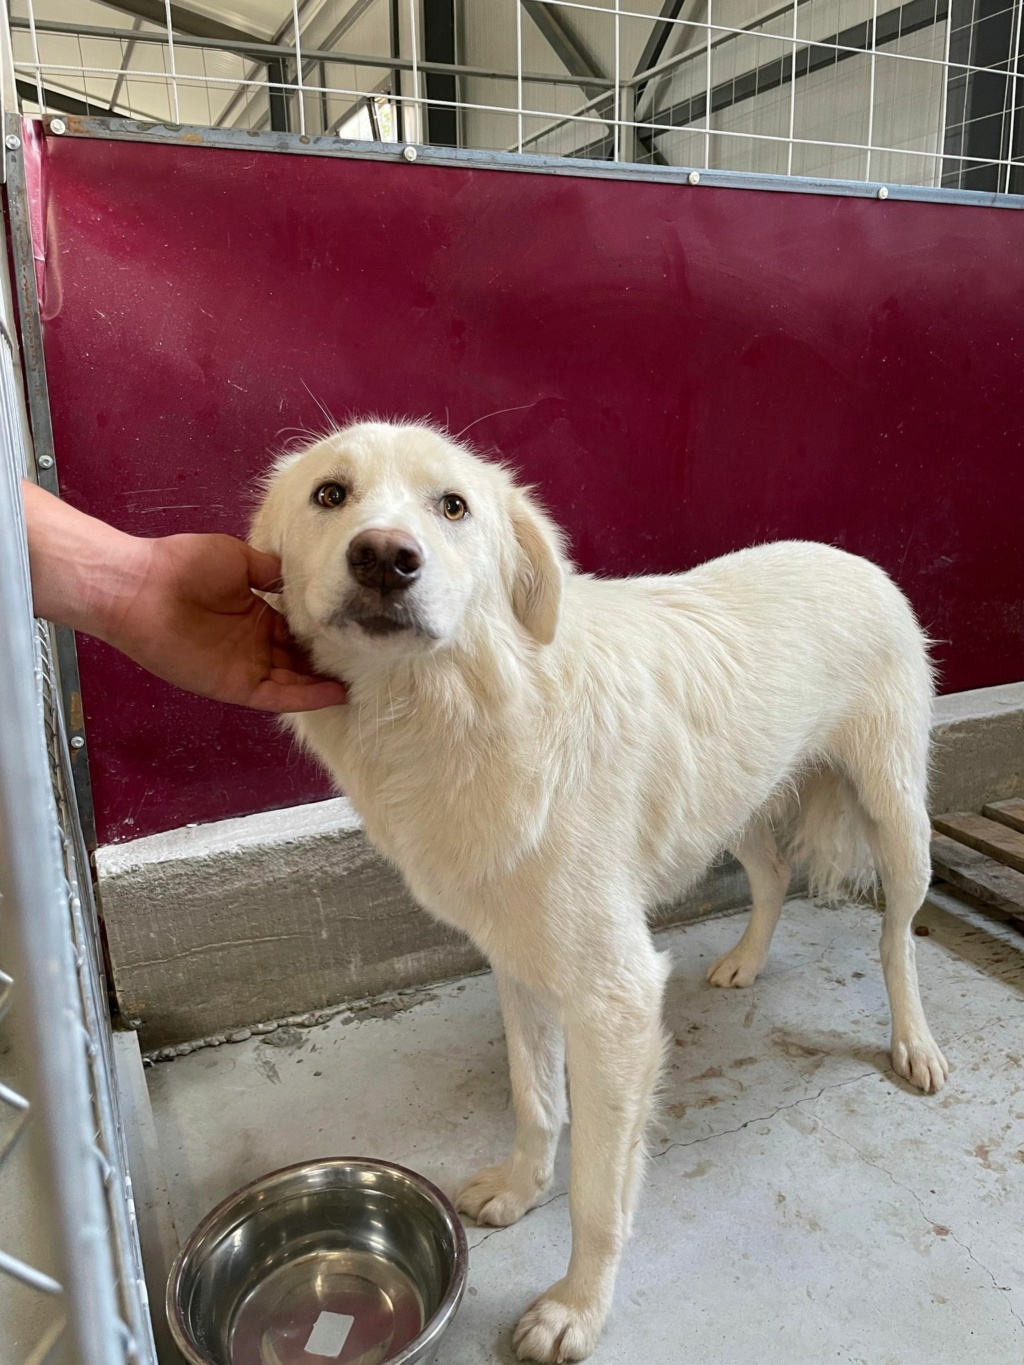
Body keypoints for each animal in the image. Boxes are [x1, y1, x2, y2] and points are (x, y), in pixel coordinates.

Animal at [252, 420, 950, 1359]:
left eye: (453, 506)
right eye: (330, 494)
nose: (384, 558)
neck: (458, 708)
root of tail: (850, 555)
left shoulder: (614, 996)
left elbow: (596, 1190)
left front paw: (576, 1307)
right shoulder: (517, 960)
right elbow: (535, 1098)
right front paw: (519, 1188)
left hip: (897, 815)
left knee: (897, 934)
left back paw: (914, 1041)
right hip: (732, 805)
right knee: (772, 876)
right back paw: (745, 960)